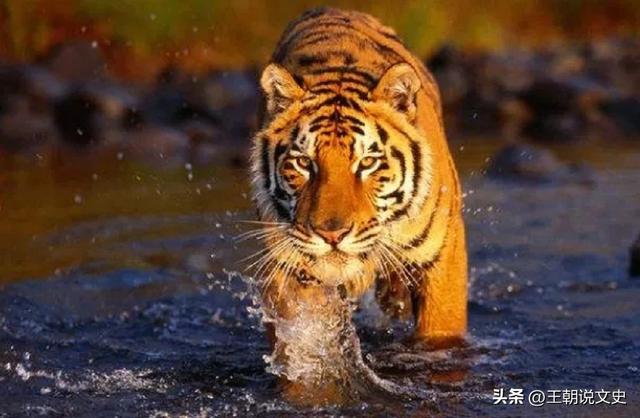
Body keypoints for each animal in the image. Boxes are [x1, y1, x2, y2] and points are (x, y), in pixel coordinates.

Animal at [249, 7, 467, 364]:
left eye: (367, 163)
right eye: (304, 163)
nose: (332, 235)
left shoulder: (442, 256)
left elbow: (439, 333)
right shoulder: (287, 268)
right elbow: (299, 345)